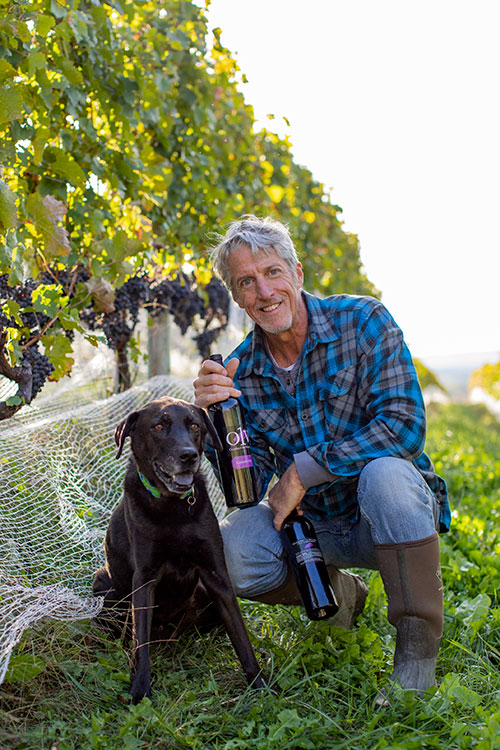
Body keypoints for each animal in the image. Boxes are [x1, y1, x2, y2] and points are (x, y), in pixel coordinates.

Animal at [94, 400, 266, 704]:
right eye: (158, 426)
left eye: (194, 425)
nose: (188, 455)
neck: (172, 509)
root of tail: (169, 637)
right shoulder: (144, 579)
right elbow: (141, 642)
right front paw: (140, 691)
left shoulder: (216, 576)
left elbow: (241, 636)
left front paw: (260, 686)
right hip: (105, 584)